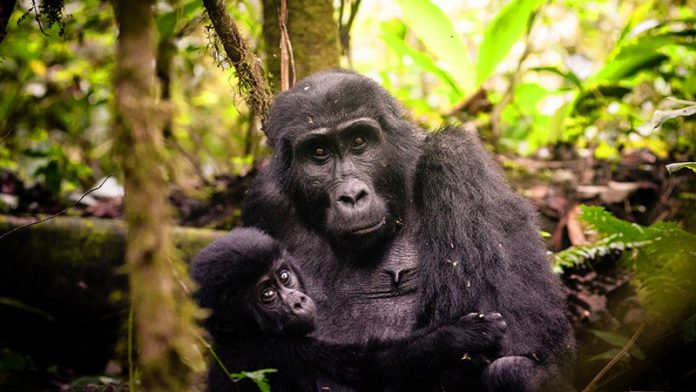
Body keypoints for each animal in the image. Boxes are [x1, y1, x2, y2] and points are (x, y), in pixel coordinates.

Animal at [190, 228, 506, 390]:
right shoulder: (274, 352)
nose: (297, 301)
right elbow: (367, 368)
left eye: (284, 276)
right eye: (267, 295)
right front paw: (460, 335)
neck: (241, 335)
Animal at [242, 69, 572, 390]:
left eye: (359, 142)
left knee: (510, 369)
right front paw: (452, 339)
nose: (352, 196)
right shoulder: (263, 204)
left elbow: (521, 335)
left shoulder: (456, 160)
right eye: (319, 152)